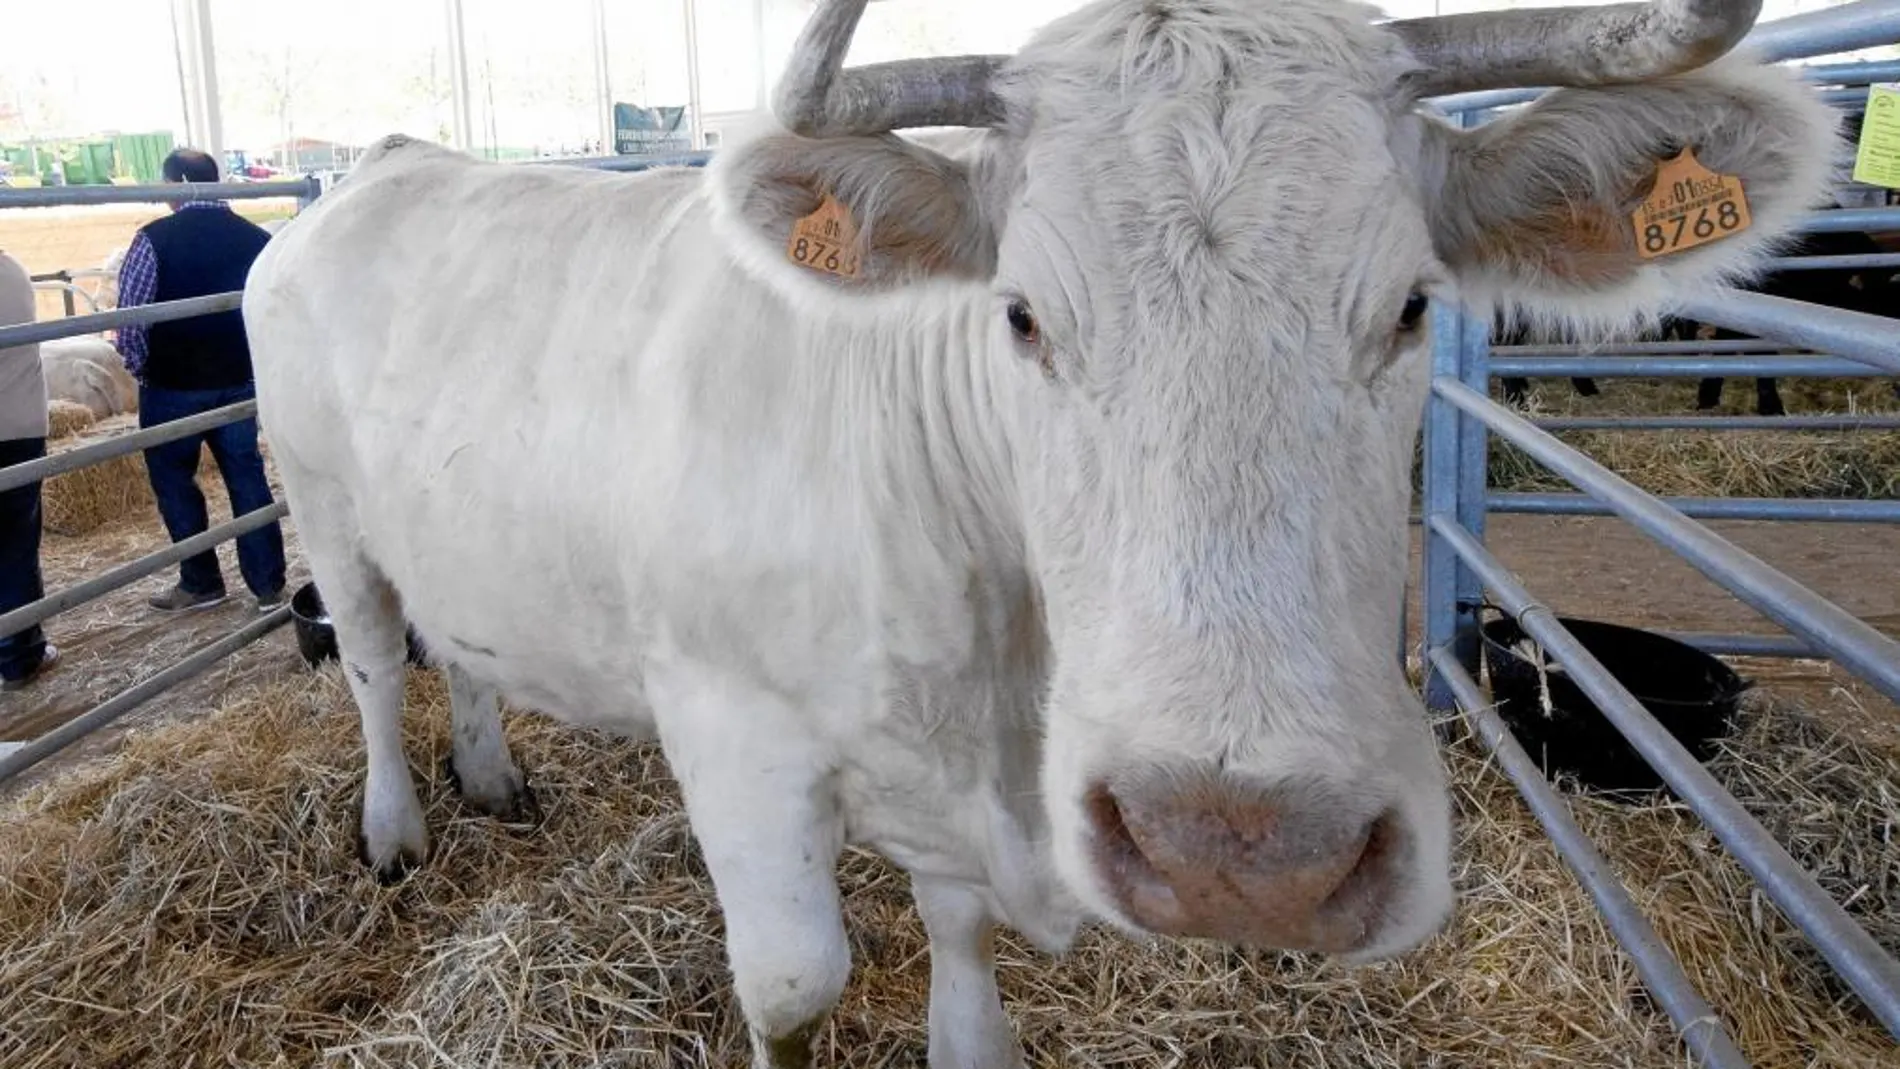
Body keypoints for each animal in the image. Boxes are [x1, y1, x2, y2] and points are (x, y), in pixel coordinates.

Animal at [241, 2, 1839, 1069]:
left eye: (1411, 305)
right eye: (1019, 314)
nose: (1243, 850)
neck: (1001, 662)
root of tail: (383, 162)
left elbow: (959, 955)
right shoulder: (734, 738)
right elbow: (793, 990)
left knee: (459, 646)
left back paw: (493, 773)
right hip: (323, 508)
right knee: (375, 661)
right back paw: (396, 829)